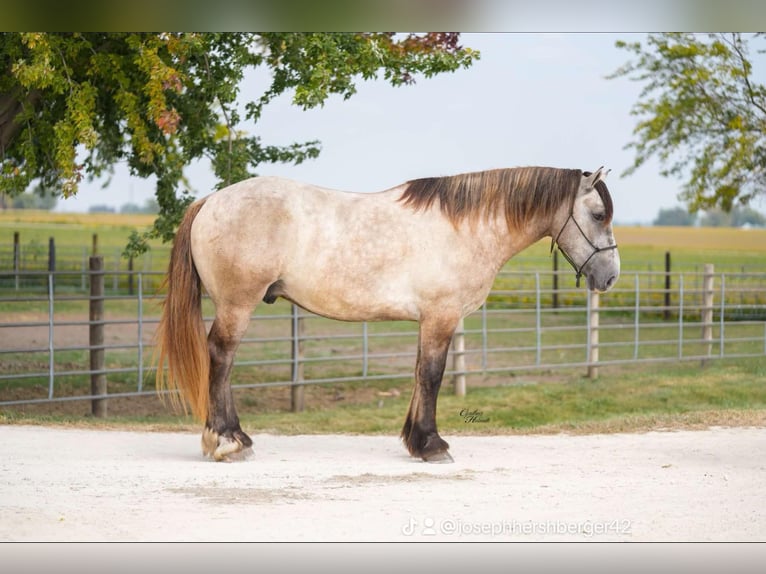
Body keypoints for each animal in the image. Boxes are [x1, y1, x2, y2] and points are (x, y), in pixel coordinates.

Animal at [155, 166, 620, 462]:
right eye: (598, 215)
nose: (610, 276)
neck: (465, 227)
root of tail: (212, 199)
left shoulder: (430, 321)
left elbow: (419, 375)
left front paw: (415, 440)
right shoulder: (441, 317)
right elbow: (432, 377)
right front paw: (432, 445)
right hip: (237, 305)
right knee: (220, 358)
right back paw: (227, 440)